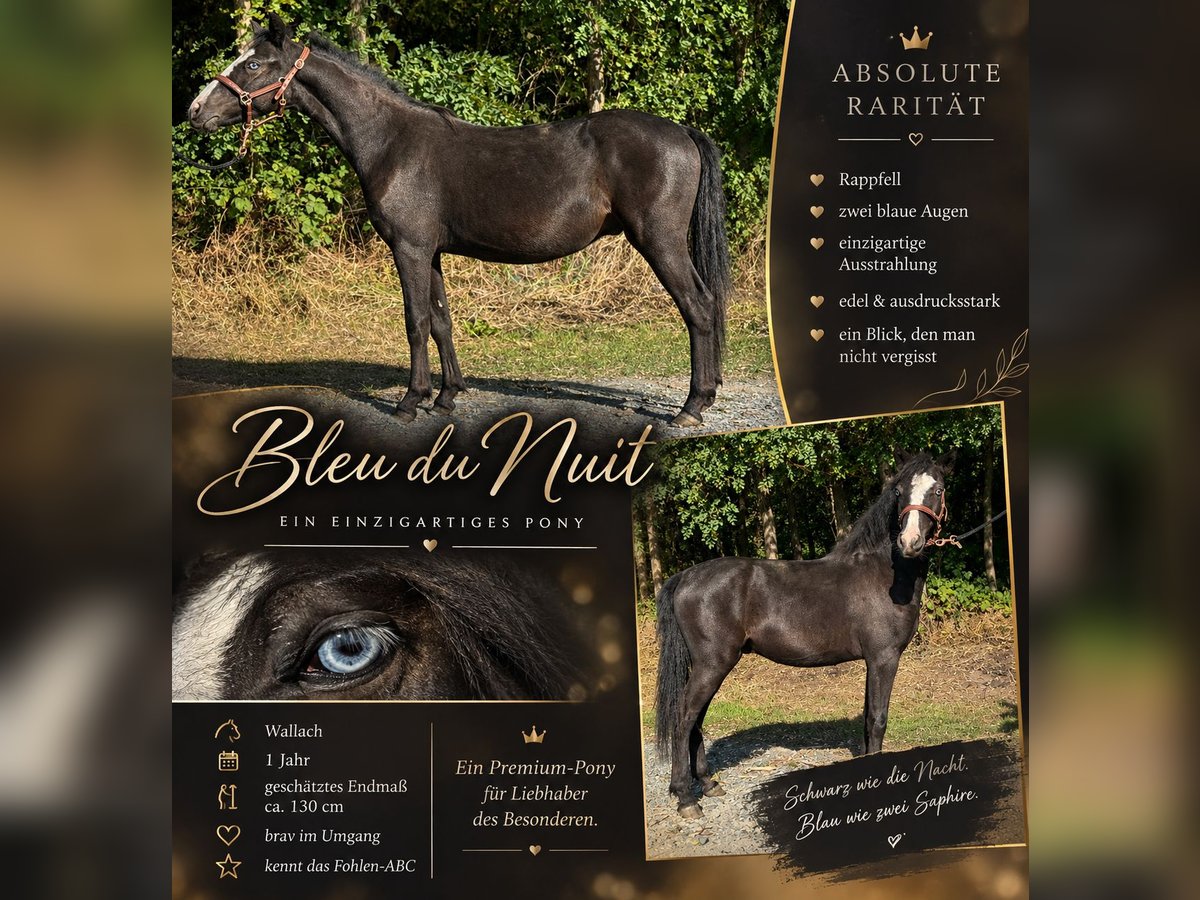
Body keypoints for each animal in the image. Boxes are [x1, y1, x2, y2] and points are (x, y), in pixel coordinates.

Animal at [186, 14, 731, 427]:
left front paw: (410, 401)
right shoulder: (430, 252)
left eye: (253, 64)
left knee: (699, 307)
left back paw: (691, 407)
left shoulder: (408, 248)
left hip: (659, 241)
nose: (194, 111)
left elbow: (415, 322)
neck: (390, 140)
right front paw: (446, 396)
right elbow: (442, 321)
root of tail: (682, 131)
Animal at [654, 450, 957, 817]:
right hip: (712, 665)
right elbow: (878, 718)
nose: (909, 542)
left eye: (938, 490)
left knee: (695, 720)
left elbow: (867, 719)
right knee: (684, 721)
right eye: (899, 491)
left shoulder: (873, 662)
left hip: (709, 667)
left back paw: (708, 784)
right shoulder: (884, 659)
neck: (885, 574)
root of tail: (685, 576)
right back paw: (686, 798)